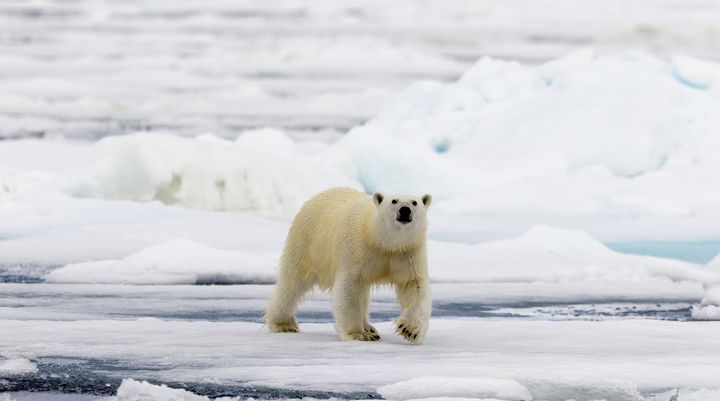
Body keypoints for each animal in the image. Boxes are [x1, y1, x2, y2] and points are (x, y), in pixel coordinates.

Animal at [266, 186, 430, 342]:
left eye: (415, 202)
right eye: (394, 201)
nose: (405, 210)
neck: (381, 240)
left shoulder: (407, 253)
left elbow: (414, 285)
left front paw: (410, 330)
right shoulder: (357, 248)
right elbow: (349, 286)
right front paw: (359, 334)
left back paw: (369, 327)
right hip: (307, 243)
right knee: (292, 282)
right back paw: (283, 324)